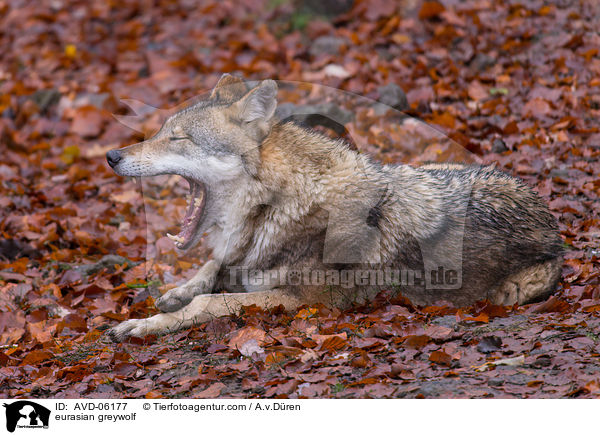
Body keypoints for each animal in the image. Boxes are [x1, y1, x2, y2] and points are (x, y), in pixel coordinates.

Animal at [106, 75, 564, 342]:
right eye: (161, 132)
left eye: (177, 138)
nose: (111, 155)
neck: (276, 206)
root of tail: (551, 223)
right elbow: (208, 269)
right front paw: (172, 295)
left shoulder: (303, 300)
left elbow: (207, 303)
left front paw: (143, 325)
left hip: (514, 290)